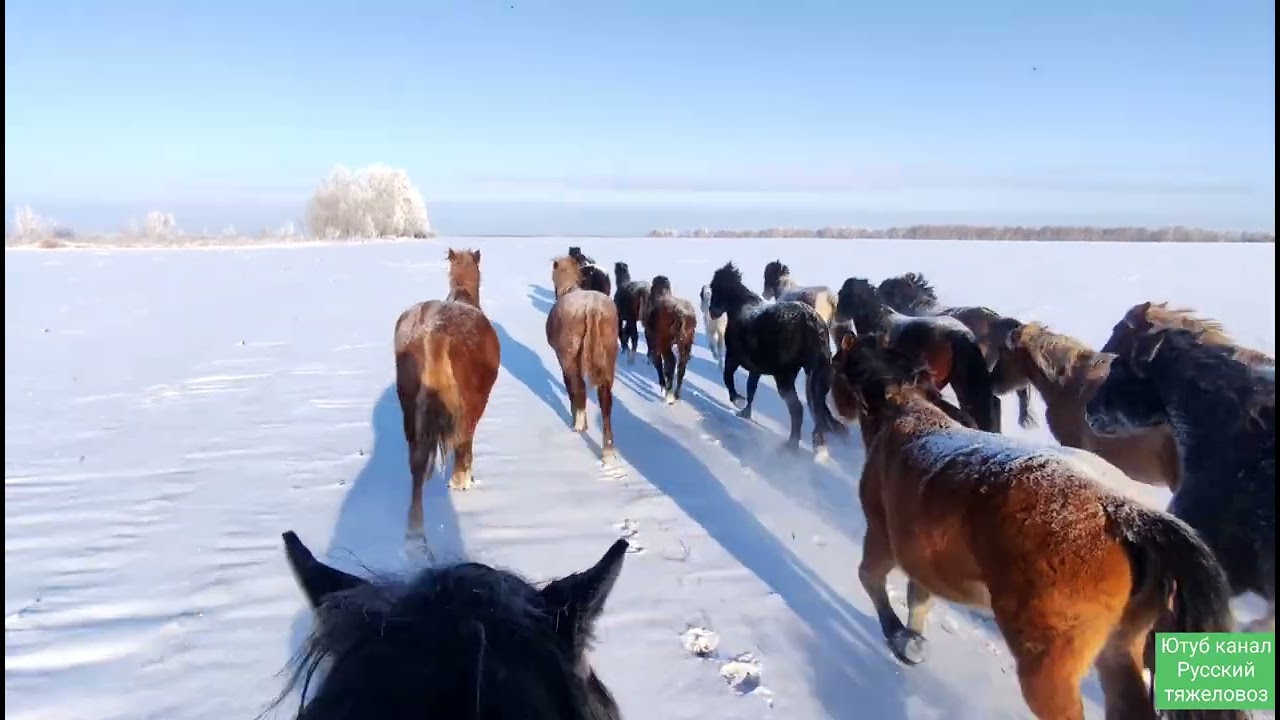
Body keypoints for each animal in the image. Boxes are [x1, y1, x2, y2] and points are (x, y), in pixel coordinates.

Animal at [392, 248, 501, 544]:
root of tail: (434, 331)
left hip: (408, 407)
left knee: (416, 461)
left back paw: (415, 526)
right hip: (470, 404)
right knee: (463, 439)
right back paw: (460, 480)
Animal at [547, 255, 620, 459]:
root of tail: (592, 309)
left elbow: (571, 389)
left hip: (569, 356)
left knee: (578, 387)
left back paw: (579, 426)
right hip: (608, 355)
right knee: (605, 400)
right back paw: (608, 450)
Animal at [643, 275, 697, 405]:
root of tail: (681, 314)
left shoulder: (654, 342)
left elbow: (658, 363)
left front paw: (663, 387)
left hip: (665, 343)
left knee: (671, 362)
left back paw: (669, 393)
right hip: (685, 344)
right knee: (681, 365)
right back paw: (676, 394)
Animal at [707, 262, 846, 459]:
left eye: (715, 287)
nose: (712, 312)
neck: (742, 307)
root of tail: (810, 322)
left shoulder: (733, 358)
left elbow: (728, 379)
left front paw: (737, 401)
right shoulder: (755, 368)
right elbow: (751, 390)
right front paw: (746, 413)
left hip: (785, 378)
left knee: (798, 410)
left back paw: (791, 445)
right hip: (816, 377)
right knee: (818, 409)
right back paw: (819, 444)